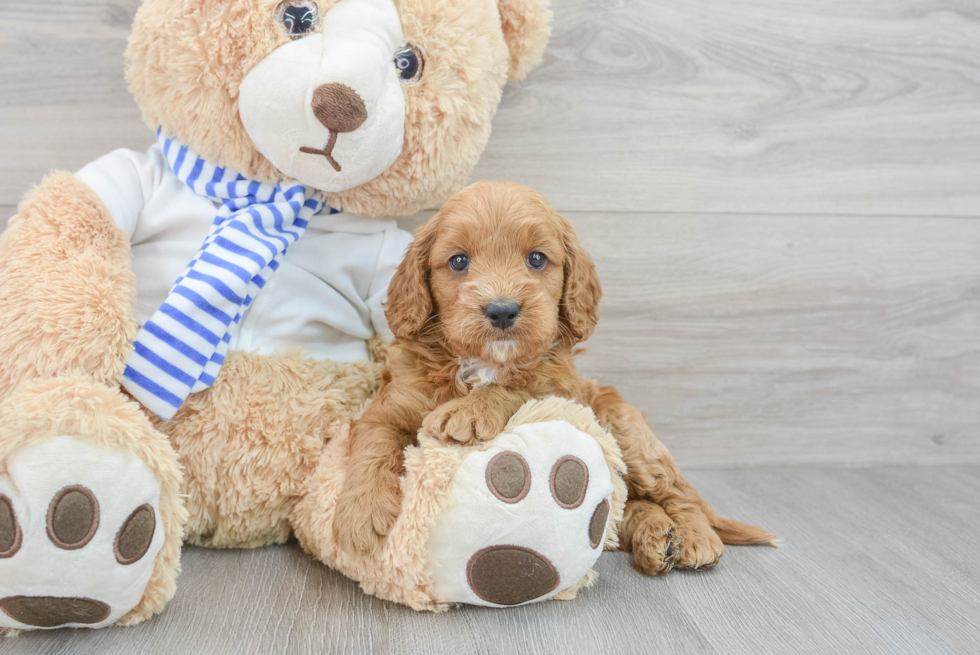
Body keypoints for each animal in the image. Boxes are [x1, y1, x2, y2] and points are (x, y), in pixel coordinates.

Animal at [334, 181, 776, 576]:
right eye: (458, 261)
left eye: (536, 259)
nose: (502, 310)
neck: (481, 363)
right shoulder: (388, 408)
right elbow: (373, 447)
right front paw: (360, 516)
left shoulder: (563, 393)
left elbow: (518, 388)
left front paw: (470, 412)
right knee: (625, 504)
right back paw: (657, 537)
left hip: (629, 432)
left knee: (678, 492)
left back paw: (694, 538)